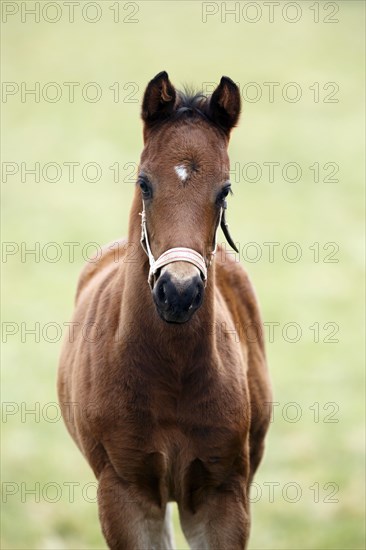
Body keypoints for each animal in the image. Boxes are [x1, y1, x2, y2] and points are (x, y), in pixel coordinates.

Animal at [58, 71, 272, 548]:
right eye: (144, 183)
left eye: (224, 190)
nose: (178, 291)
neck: (169, 372)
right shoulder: (124, 491)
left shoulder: (223, 493)